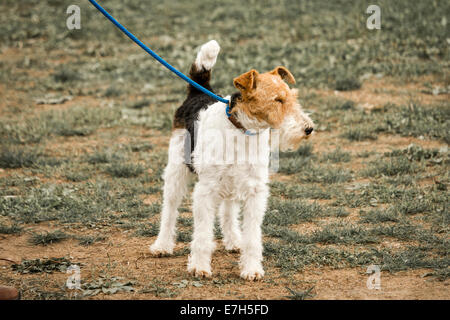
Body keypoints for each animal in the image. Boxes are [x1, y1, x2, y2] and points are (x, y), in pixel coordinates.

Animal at [149, 40, 314, 280]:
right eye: (277, 99)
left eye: (293, 97)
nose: (308, 129)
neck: (243, 130)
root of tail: (197, 92)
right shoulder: (205, 189)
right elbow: (202, 233)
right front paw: (199, 267)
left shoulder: (255, 190)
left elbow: (253, 236)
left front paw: (251, 269)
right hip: (176, 171)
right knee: (169, 209)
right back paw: (162, 245)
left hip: (232, 180)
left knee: (227, 209)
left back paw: (234, 240)